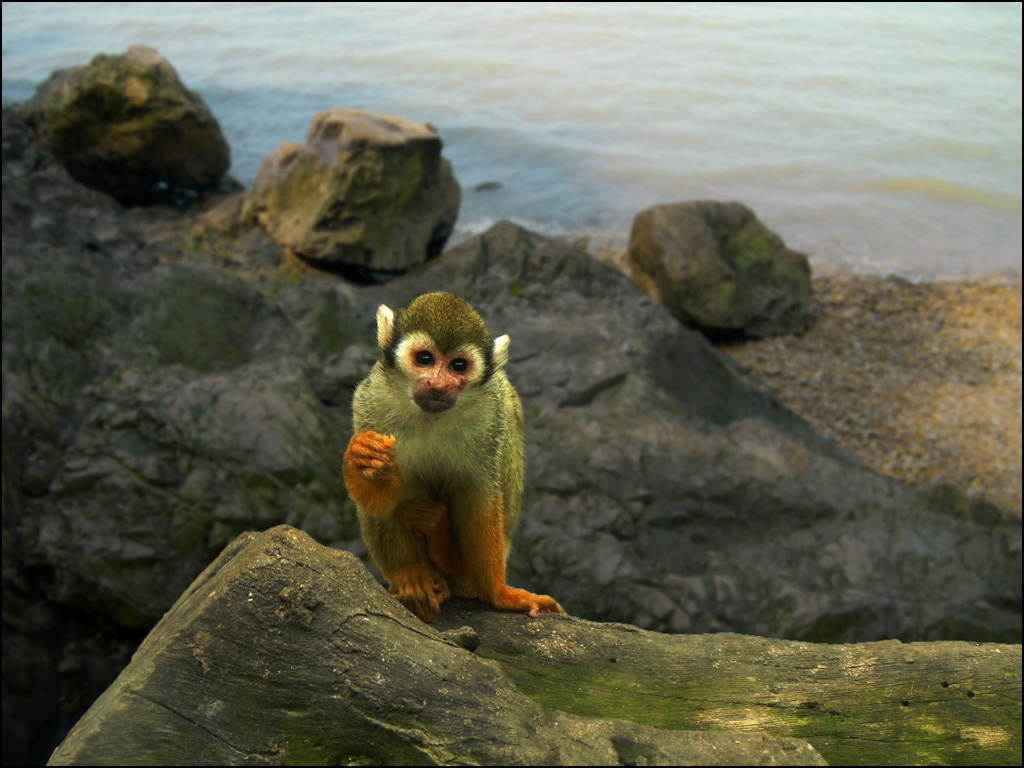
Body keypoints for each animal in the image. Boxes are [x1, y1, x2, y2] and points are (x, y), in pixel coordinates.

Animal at [348, 290, 565, 622]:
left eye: (458, 366)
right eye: (425, 359)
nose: (438, 384)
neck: (431, 417)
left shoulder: (490, 415)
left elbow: (479, 497)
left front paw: (497, 593)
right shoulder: (371, 399)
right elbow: (379, 499)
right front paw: (364, 459)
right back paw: (411, 574)